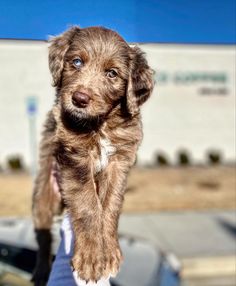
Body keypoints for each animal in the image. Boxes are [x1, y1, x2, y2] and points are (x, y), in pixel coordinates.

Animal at [31, 25, 153, 284]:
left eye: (112, 74)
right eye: (76, 61)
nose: (80, 99)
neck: (100, 124)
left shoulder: (120, 160)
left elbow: (110, 205)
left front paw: (110, 253)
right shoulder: (74, 156)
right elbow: (87, 205)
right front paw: (92, 259)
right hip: (42, 197)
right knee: (43, 236)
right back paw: (41, 271)